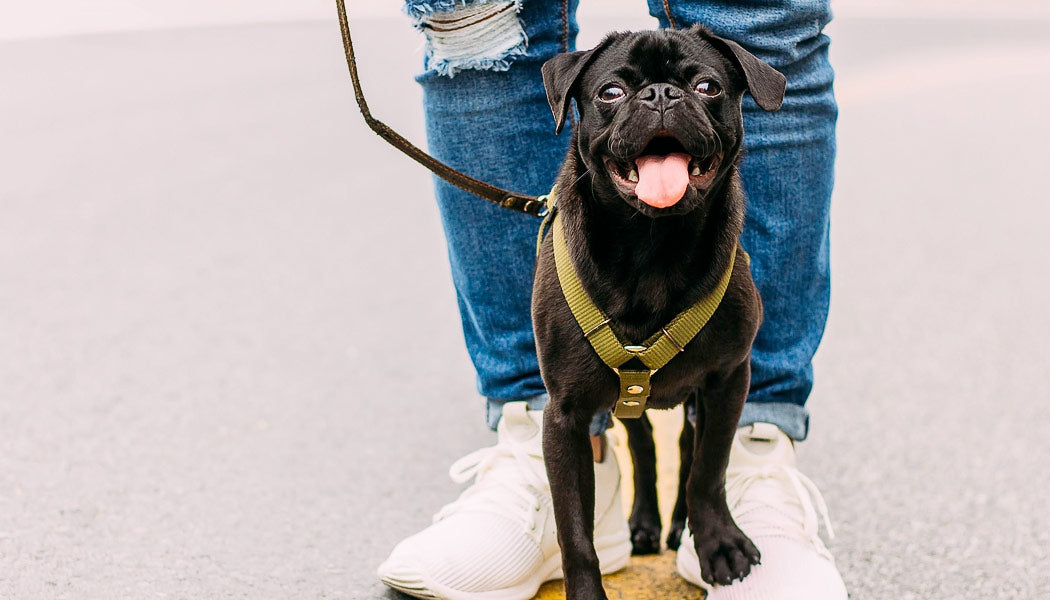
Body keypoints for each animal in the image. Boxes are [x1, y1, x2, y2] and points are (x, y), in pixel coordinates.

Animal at [537, 25, 785, 596]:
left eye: (707, 86)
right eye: (610, 93)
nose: (660, 95)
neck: (652, 246)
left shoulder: (728, 379)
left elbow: (709, 469)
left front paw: (717, 544)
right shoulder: (564, 416)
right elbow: (573, 532)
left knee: (687, 449)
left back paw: (677, 526)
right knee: (644, 445)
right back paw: (646, 523)